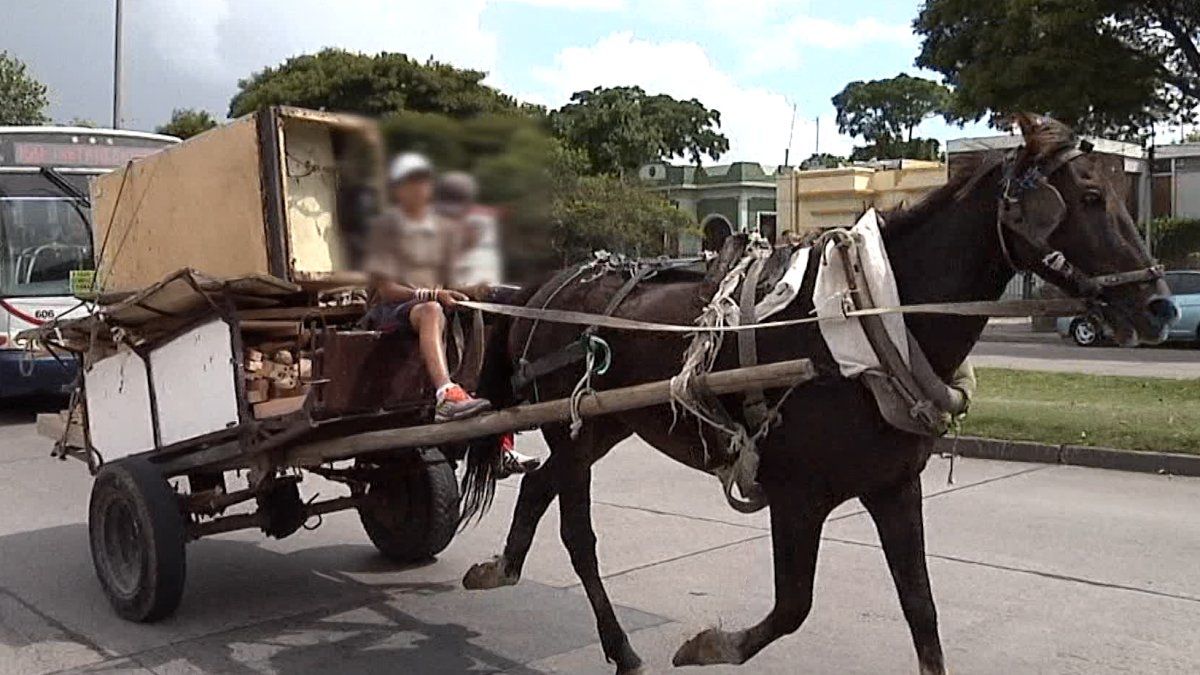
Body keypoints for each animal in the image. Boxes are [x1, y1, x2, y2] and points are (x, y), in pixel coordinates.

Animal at [456, 112, 1171, 667]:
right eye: (1089, 196)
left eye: (1123, 191)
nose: (1159, 306)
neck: (865, 318)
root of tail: (548, 287)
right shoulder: (797, 495)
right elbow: (794, 605)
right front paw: (712, 645)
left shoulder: (893, 487)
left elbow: (922, 611)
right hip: (574, 427)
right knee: (578, 533)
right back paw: (619, 647)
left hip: (603, 425)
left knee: (539, 484)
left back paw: (503, 568)